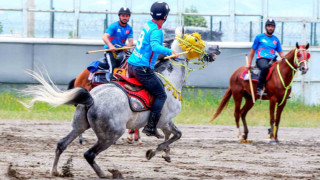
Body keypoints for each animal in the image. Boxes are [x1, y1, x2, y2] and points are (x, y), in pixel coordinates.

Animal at [22, 29, 220, 177]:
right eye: (196, 39)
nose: (217, 47)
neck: (168, 80)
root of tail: (92, 99)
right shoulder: (164, 120)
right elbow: (174, 135)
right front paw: (154, 152)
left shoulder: (166, 122)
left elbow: (172, 135)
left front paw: (165, 154)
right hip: (111, 134)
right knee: (89, 154)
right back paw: (107, 174)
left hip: (79, 125)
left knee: (61, 144)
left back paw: (55, 171)